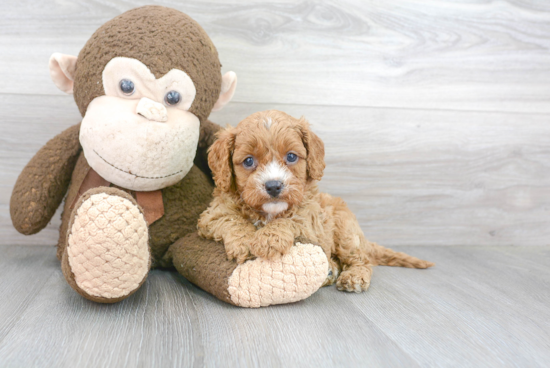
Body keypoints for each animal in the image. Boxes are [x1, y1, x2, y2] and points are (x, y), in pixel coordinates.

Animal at [198, 110, 436, 292]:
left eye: (291, 156)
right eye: (248, 161)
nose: (273, 186)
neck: (268, 213)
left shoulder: (311, 218)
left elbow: (291, 219)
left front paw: (268, 239)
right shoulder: (212, 215)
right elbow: (232, 220)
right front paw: (245, 242)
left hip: (346, 232)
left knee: (361, 259)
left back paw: (354, 277)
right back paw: (331, 270)